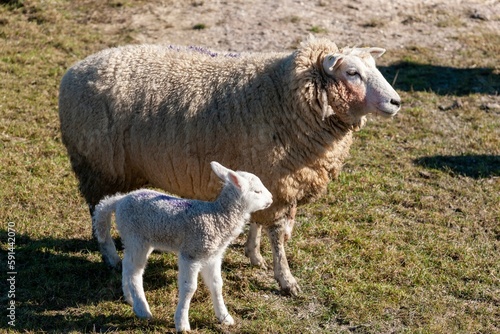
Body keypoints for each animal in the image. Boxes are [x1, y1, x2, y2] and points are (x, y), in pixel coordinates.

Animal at [59, 36, 402, 296]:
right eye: (352, 73)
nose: (396, 102)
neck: (283, 95)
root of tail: (74, 71)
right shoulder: (278, 181)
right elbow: (279, 237)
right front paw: (286, 280)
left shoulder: (268, 176)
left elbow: (258, 221)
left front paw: (254, 255)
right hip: (97, 167)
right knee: (98, 215)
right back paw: (111, 258)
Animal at [94, 162, 274, 332]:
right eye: (257, 191)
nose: (272, 199)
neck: (218, 217)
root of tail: (119, 200)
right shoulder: (191, 253)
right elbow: (189, 288)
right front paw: (182, 323)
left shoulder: (213, 256)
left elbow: (217, 284)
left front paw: (225, 317)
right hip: (136, 237)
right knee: (135, 273)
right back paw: (142, 309)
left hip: (137, 239)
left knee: (127, 264)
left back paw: (129, 298)